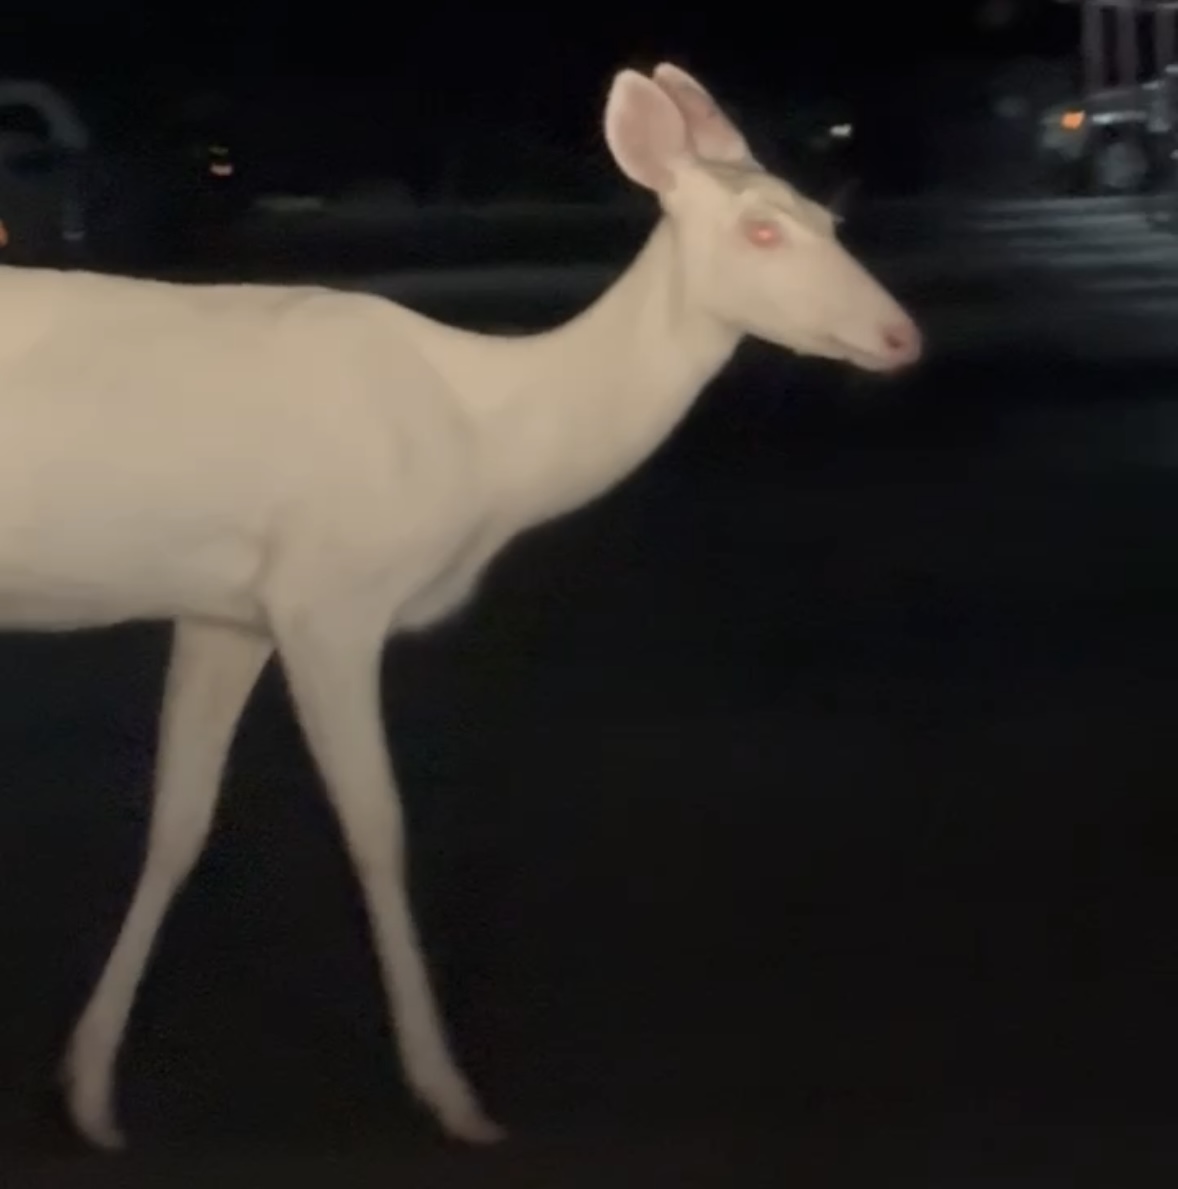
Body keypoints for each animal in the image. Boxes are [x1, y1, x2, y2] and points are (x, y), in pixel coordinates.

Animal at [0, 62, 924, 1151]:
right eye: (762, 231)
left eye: (829, 217)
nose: (901, 335)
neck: (487, 447)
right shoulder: (329, 593)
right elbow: (377, 828)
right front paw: (448, 1090)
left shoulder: (229, 607)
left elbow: (178, 823)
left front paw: (91, 1085)